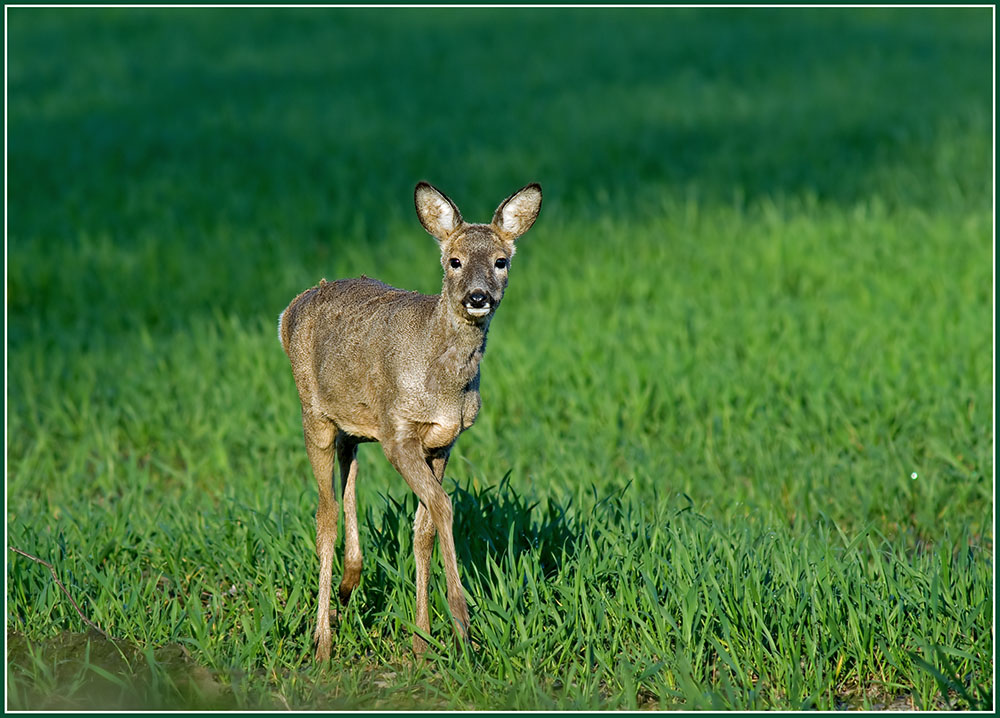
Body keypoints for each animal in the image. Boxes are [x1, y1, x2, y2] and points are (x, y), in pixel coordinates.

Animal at [278, 181, 544, 664]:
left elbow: (423, 528)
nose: (478, 297)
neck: (443, 382)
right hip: (315, 414)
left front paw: (422, 639)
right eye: (454, 261)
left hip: (354, 425)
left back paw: (349, 587)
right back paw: (322, 641)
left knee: (348, 475)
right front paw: (461, 620)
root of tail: (289, 311)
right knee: (324, 514)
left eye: (501, 261)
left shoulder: (443, 440)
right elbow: (443, 506)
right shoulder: (398, 433)